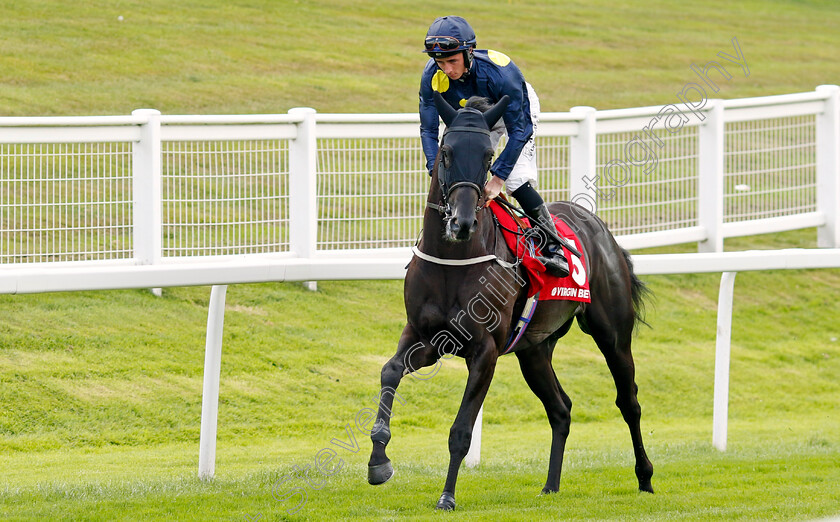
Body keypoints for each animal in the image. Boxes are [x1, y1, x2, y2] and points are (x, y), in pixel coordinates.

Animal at [366, 93, 648, 508]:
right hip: (534, 350)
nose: (462, 222)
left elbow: (461, 430)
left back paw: (645, 477)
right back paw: (550, 485)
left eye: (487, 157)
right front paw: (378, 461)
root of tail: (601, 229)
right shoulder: (425, 336)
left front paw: (447, 497)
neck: (454, 260)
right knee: (561, 409)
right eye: (446, 152)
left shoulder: (484, 350)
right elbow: (389, 371)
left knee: (628, 401)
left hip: (612, 334)